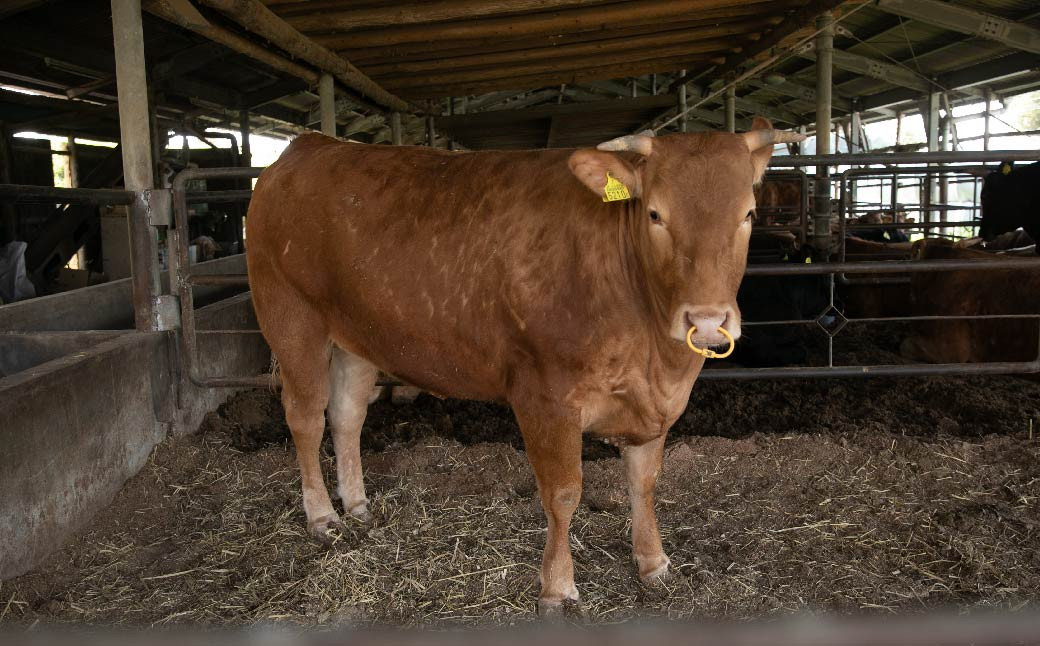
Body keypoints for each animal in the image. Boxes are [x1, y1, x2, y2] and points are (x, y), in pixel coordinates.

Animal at [245, 117, 802, 615]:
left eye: (749, 214)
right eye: (655, 215)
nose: (706, 320)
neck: (656, 359)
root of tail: (310, 145)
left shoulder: (653, 403)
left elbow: (643, 481)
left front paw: (653, 562)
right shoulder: (545, 396)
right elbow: (563, 493)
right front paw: (557, 588)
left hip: (358, 336)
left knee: (347, 416)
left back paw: (358, 505)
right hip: (291, 317)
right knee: (305, 417)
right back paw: (322, 516)